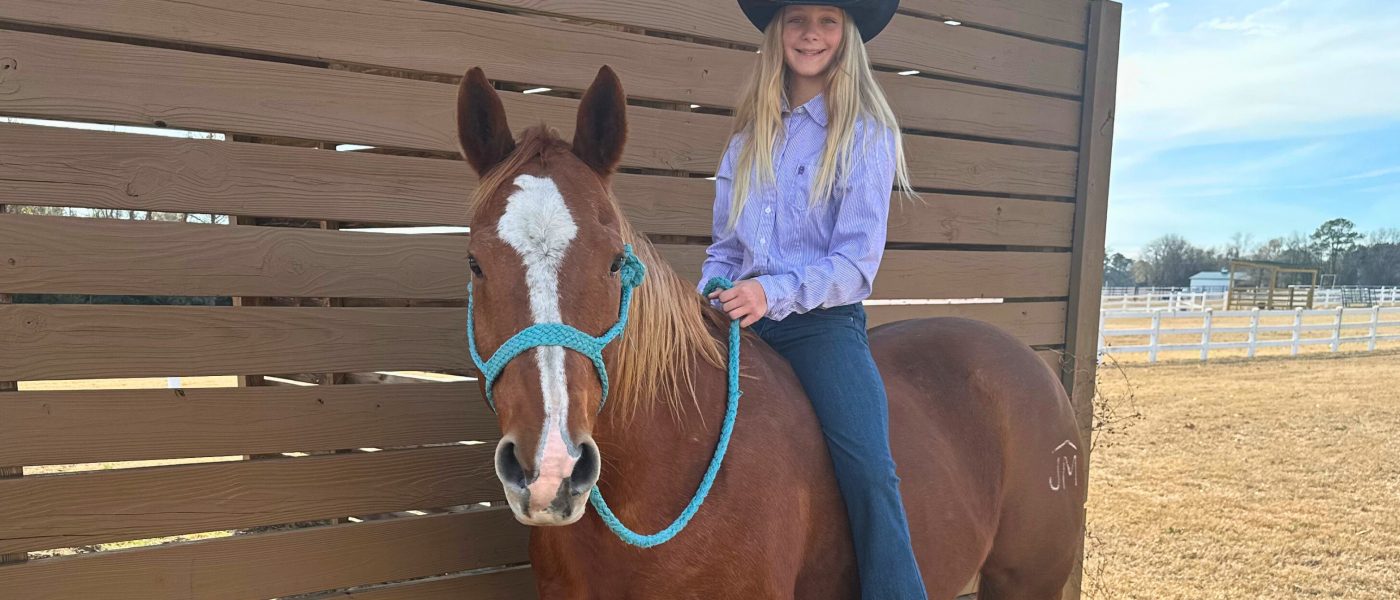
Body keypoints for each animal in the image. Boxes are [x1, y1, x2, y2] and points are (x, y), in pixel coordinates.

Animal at [456, 65, 1086, 599]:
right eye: (475, 263)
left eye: (615, 262)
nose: (549, 470)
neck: (666, 469)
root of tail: (1036, 369)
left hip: (1028, 581)